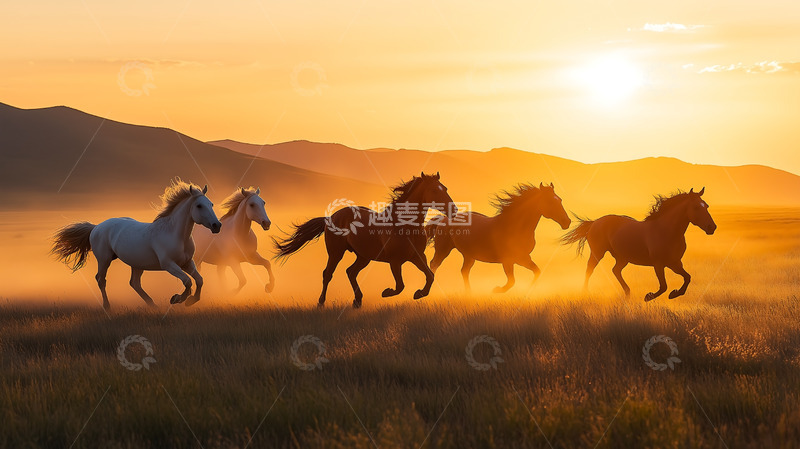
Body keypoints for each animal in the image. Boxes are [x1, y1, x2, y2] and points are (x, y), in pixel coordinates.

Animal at [51, 180, 222, 309]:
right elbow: (187, 281)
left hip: (137, 264)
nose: (217, 225)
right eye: (199, 206)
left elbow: (199, 280)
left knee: (134, 283)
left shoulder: (187, 263)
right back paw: (108, 307)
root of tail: (96, 227)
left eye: (211, 204)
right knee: (101, 279)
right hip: (104, 259)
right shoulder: (169, 264)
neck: (175, 234)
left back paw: (153, 305)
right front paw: (177, 299)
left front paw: (191, 300)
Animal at [274, 172, 455, 308]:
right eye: (434, 190)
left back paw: (358, 300)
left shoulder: (417, 256)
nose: (453, 209)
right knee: (328, 274)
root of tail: (330, 218)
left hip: (363, 256)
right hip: (336, 253)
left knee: (351, 272)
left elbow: (430, 275)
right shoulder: (395, 261)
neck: (404, 225)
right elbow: (400, 286)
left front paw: (419, 293)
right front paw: (386, 292)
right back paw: (321, 302)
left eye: (445, 188)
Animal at [428, 182, 571, 293]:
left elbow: (537, 272)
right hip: (443, 250)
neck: (516, 227)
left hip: (469, 255)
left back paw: (469, 293)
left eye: (560, 200)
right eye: (550, 201)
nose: (567, 222)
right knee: (434, 265)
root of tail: (444, 219)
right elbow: (512, 281)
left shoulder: (523, 258)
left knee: (464, 271)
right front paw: (496, 290)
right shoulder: (509, 260)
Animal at [561, 188, 716, 301]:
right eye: (696, 207)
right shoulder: (659, 264)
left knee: (615, 270)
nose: (712, 227)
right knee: (590, 269)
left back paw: (627, 293)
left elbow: (687, 277)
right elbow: (664, 286)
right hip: (598, 253)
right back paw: (585, 292)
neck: (666, 231)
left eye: (707, 206)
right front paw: (649, 296)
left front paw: (675, 293)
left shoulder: (675, 263)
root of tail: (594, 222)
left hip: (622, 258)